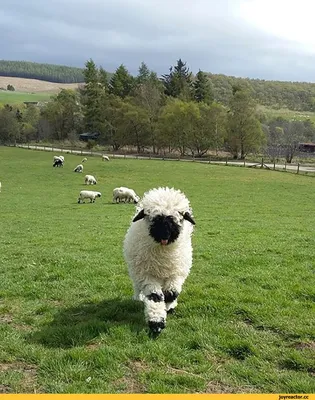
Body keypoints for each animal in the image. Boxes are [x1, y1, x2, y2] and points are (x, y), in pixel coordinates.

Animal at [124, 188, 196, 338]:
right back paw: (138, 298)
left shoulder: (176, 275)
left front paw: (168, 307)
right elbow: (155, 297)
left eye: (175, 219)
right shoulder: (147, 276)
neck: (163, 255)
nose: (164, 235)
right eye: (155, 219)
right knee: (138, 288)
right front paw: (156, 322)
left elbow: (171, 293)